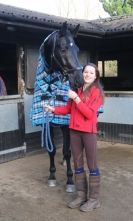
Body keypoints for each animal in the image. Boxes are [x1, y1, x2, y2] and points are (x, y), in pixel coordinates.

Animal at [31, 21, 83, 193]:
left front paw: (70, 180)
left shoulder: (65, 124)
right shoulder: (47, 122)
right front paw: (52, 176)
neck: (50, 87)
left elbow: (67, 151)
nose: (79, 80)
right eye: (63, 49)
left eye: (77, 49)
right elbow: (52, 149)